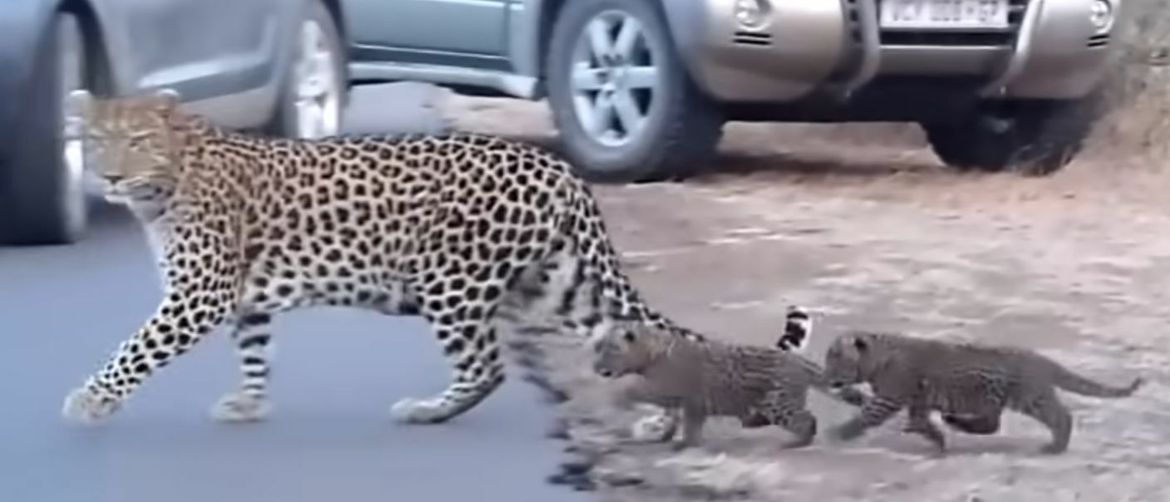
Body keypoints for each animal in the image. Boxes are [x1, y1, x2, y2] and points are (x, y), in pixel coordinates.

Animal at [59, 88, 707, 434]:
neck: (165, 182)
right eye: (95, 142)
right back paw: (660, 421)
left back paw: (426, 412)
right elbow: (254, 350)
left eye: (137, 141)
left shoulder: (198, 295)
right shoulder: (241, 297)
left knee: (486, 366)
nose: (108, 176)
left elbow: (136, 349)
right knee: (627, 330)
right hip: (560, 281)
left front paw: (91, 400)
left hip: (451, 281)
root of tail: (558, 167)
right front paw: (249, 402)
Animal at [591, 307, 868, 450]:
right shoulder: (689, 402)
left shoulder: (668, 390)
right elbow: (682, 419)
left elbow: (639, 392)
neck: (651, 354)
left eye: (611, 349)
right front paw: (670, 437)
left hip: (778, 402)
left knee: (806, 420)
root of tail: (798, 361)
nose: (596, 367)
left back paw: (794, 443)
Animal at [821, 330, 1145, 455]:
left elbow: (866, 416)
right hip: (996, 399)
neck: (877, 359)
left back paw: (1055, 447)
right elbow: (922, 423)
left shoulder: (889, 398)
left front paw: (838, 434)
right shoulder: (917, 402)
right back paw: (954, 422)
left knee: (1061, 417)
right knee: (992, 424)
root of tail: (1042, 359)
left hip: (1030, 398)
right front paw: (938, 441)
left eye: (835, 357)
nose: (825, 375)